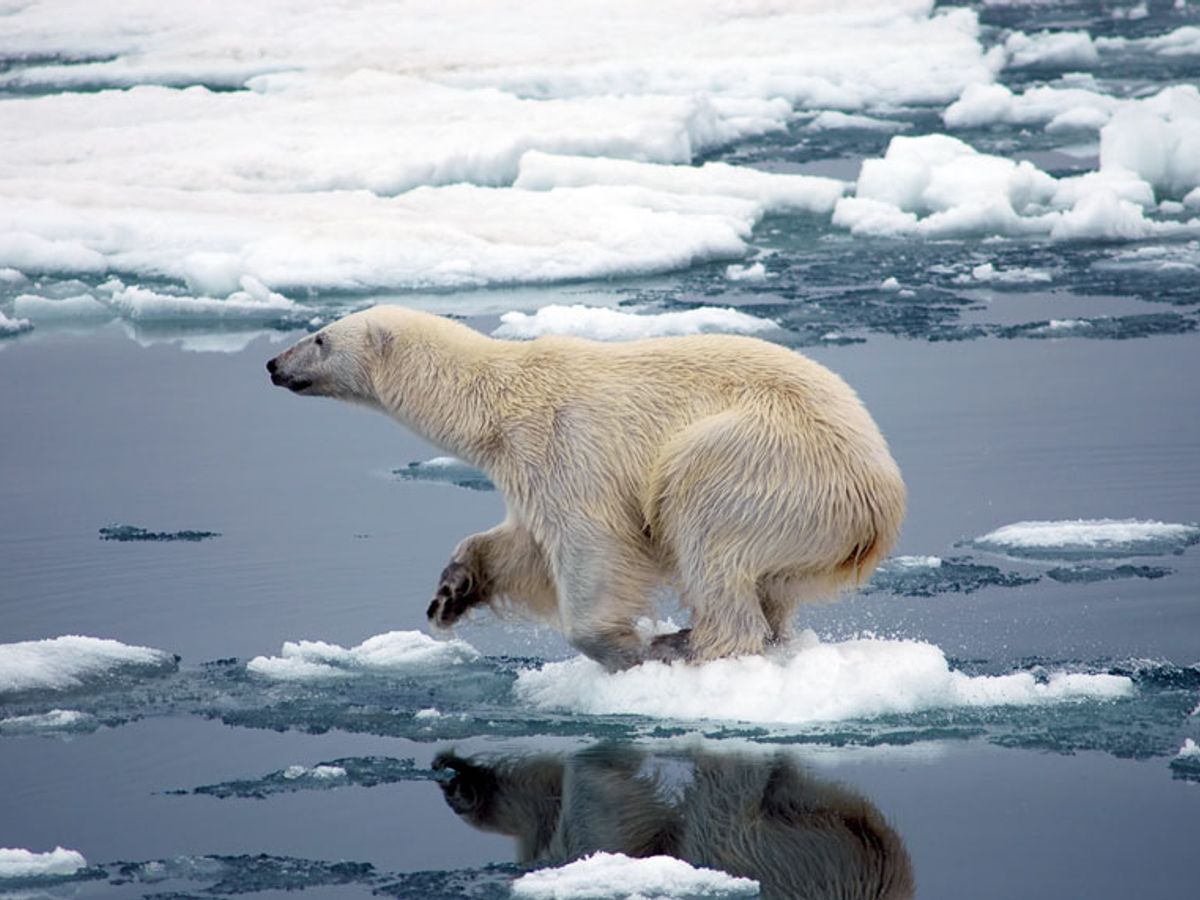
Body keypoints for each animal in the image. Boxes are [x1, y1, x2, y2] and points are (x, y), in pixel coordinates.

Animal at [267, 307, 902, 672]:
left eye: (319, 337)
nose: (273, 363)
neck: (497, 399)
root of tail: (880, 503)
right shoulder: (524, 466)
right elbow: (521, 546)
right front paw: (451, 592)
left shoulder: (566, 446)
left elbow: (591, 546)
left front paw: (625, 648)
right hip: (811, 530)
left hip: (769, 461)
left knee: (703, 522)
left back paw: (687, 643)